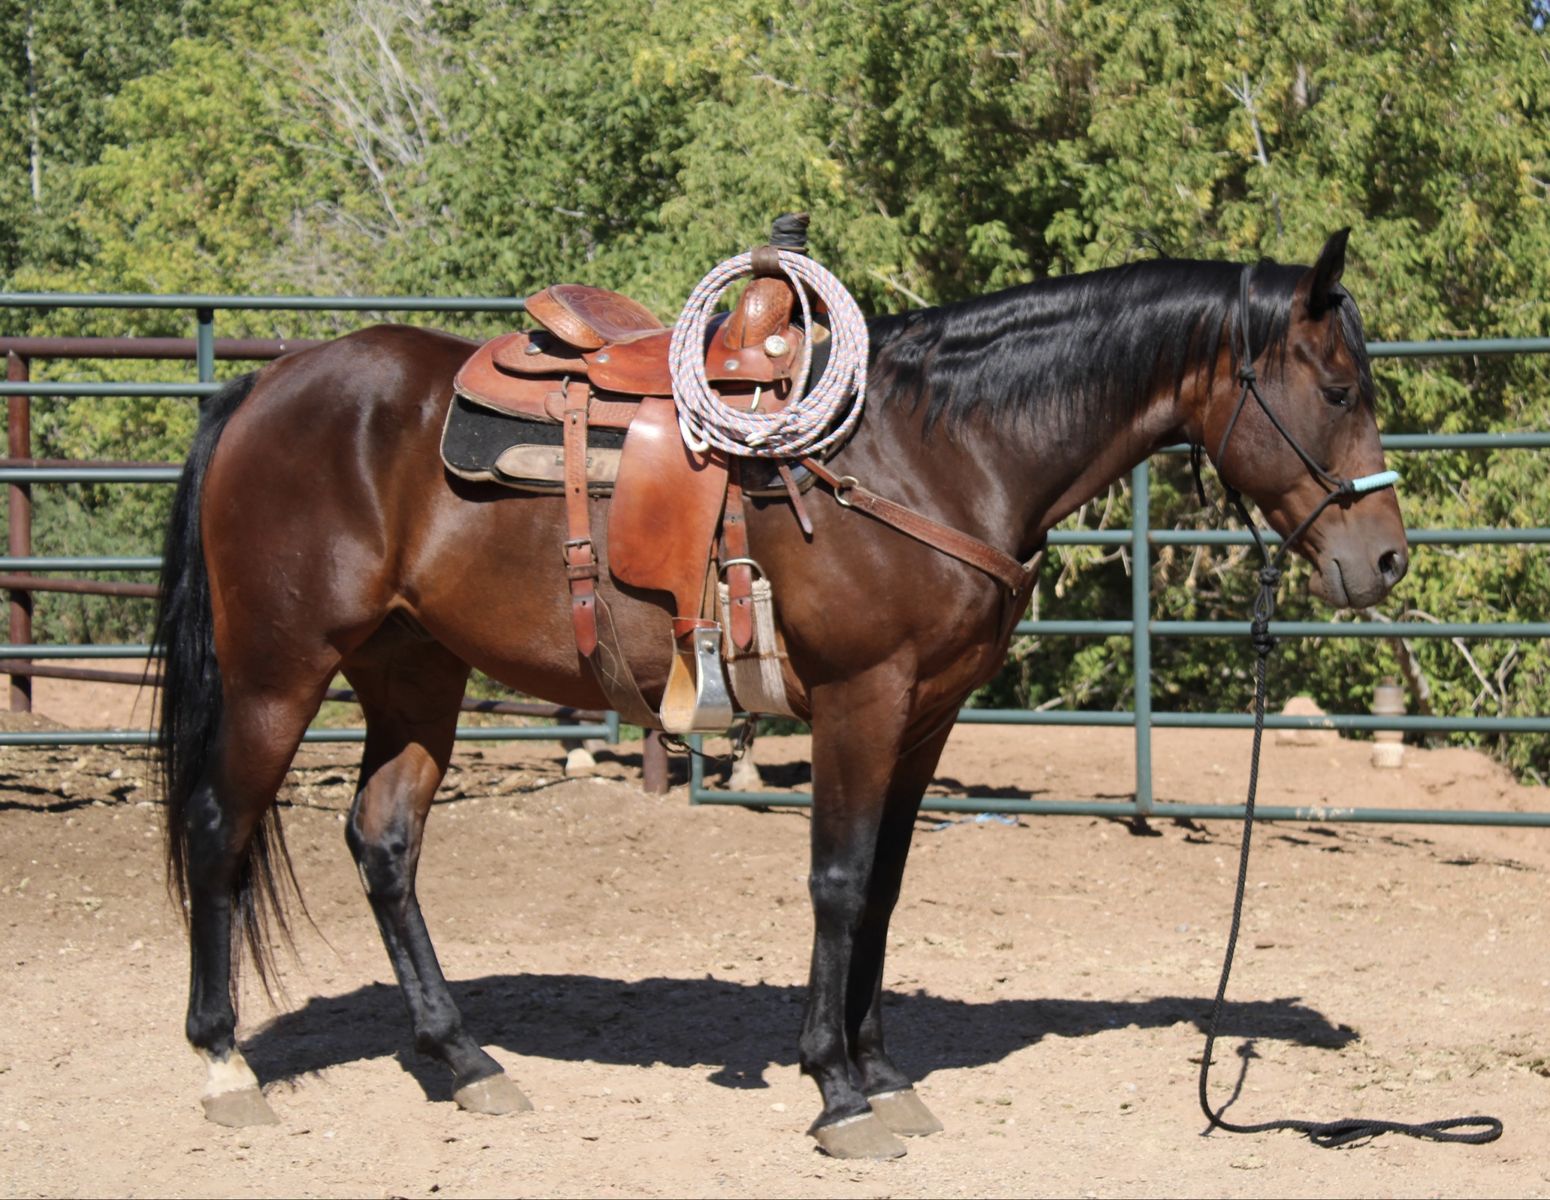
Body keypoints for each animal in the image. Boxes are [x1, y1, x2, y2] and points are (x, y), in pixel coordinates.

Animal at [155, 230, 1407, 1159]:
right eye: (1337, 385)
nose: (1383, 561)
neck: (929, 450)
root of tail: (267, 385)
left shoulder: (927, 712)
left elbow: (885, 891)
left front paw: (883, 1069)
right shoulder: (862, 698)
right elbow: (838, 885)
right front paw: (837, 1092)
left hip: (413, 670)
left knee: (384, 840)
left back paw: (463, 1061)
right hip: (279, 669)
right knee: (219, 828)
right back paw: (222, 1065)